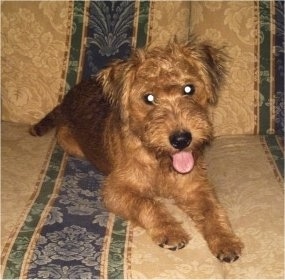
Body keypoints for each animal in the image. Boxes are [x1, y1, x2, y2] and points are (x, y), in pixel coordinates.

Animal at [31, 37, 244, 262]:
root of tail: (69, 95)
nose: (181, 139)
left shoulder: (195, 186)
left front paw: (226, 240)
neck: (160, 161)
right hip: (69, 142)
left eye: (189, 89)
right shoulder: (116, 189)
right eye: (148, 98)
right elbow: (147, 203)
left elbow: (213, 210)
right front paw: (170, 231)